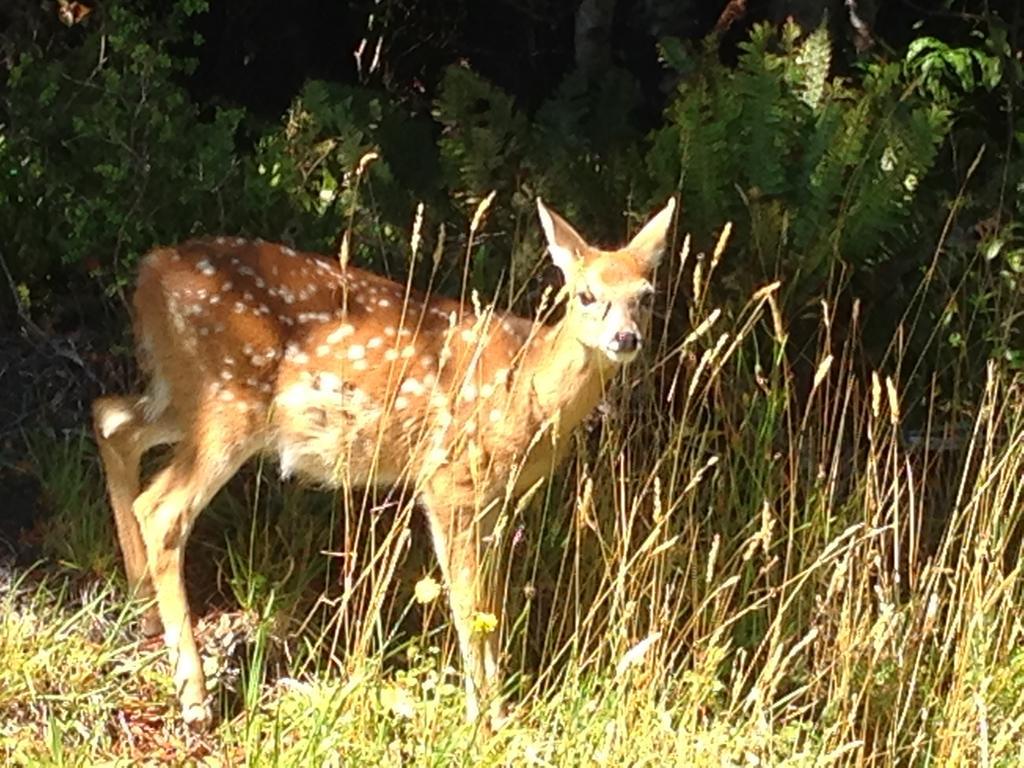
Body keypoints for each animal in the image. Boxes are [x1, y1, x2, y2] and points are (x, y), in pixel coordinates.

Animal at [92, 195, 675, 729]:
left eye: (646, 296)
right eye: (586, 294)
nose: (625, 338)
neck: (526, 390)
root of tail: (149, 273)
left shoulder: (493, 502)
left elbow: (492, 604)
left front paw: (499, 710)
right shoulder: (448, 479)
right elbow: (468, 603)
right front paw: (482, 717)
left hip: (186, 395)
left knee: (112, 420)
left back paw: (144, 614)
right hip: (228, 398)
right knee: (161, 507)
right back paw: (195, 699)